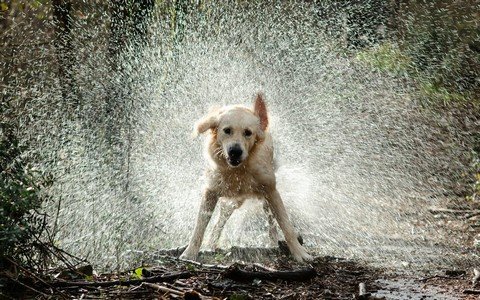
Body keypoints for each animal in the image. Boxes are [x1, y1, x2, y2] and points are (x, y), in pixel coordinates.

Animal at [179, 92, 312, 262]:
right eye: (227, 130)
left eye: (248, 133)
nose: (235, 151)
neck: (238, 170)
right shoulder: (211, 192)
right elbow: (200, 226)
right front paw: (190, 253)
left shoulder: (271, 191)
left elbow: (285, 225)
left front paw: (300, 253)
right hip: (232, 202)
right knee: (219, 222)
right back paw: (211, 244)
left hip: (263, 199)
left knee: (271, 221)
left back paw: (273, 243)